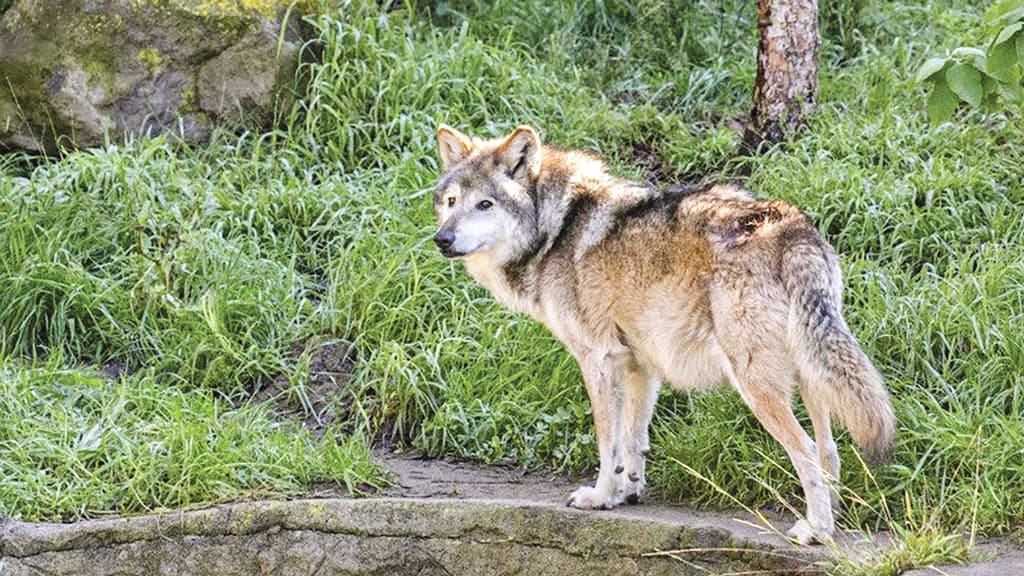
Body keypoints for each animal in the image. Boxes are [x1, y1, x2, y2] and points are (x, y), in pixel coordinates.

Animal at [428, 123, 892, 541]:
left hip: (756, 384)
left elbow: (608, 441)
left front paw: (599, 497)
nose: (441, 239)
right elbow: (634, 440)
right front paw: (625, 493)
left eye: (485, 204)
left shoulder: (598, 360)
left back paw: (817, 531)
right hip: (811, 375)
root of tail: (790, 227)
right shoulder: (639, 366)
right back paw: (829, 517)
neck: (555, 228)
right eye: (451, 202)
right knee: (830, 450)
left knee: (807, 451)